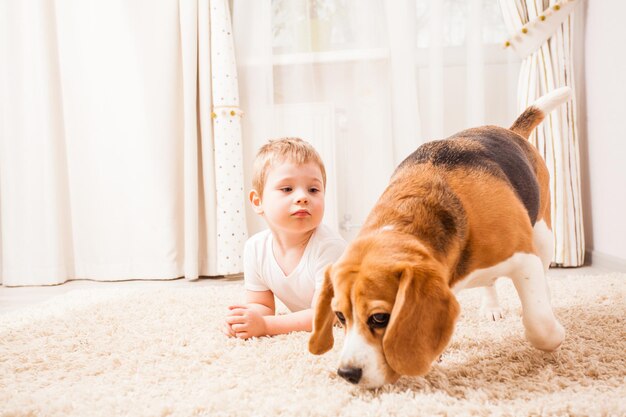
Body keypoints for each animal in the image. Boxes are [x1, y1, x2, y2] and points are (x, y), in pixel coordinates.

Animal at [308, 87, 572, 386]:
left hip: (543, 236)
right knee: (490, 282)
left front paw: (554, 336)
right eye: (339, 316)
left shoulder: (523, 258)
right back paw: (491, 306)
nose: (347, 374)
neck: (408, 211)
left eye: (379, 318)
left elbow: (540, 323)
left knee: (542, 276)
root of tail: (510, 131)